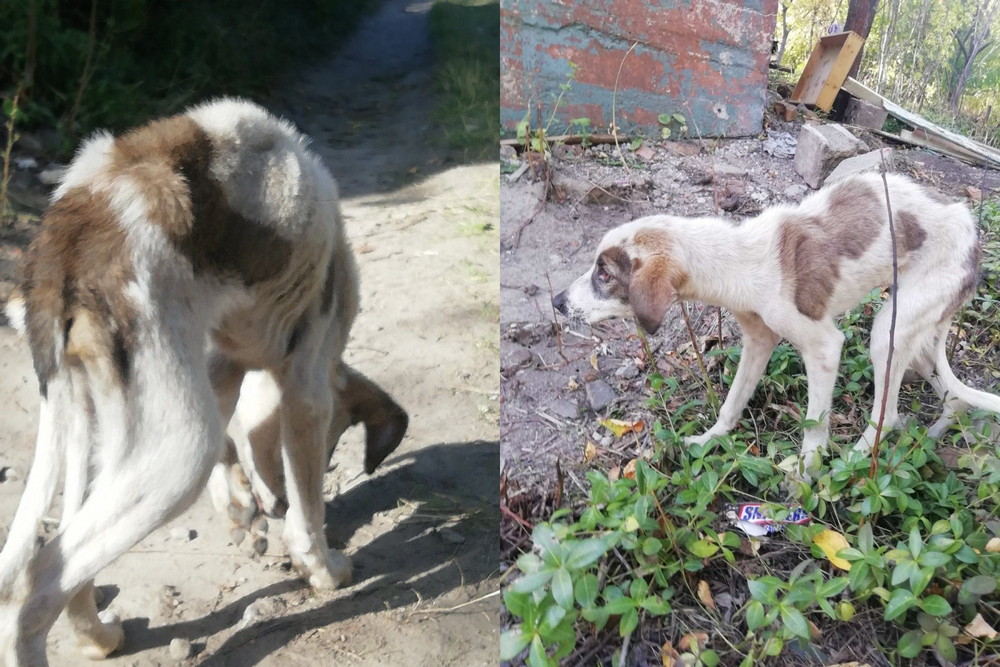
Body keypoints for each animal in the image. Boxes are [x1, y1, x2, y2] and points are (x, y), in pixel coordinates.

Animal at [0, 96, 404, 664]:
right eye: (332, 444)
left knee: (62, 567)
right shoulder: (307, 385)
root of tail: (63, 240)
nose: (273, 505)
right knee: (30, 590)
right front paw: (320, 567)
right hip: (178, 449)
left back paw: (98, 635)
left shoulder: (217, 369)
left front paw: (239, 508)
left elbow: (234, 448)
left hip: (91, 421)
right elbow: (308, 511)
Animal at [556, 175, 1000, 478]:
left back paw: (854, 463)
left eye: (604, 274)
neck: (736, 258)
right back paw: (931, 438)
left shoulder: (824, 347)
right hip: (911, 331)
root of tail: (972, 230)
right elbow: (733, 401)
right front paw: (710, 440)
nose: (556, 302)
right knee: (952, 397)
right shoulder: (758, 340)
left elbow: (814, 429)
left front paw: (805, 478)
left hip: (886, 333)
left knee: (887, 415)